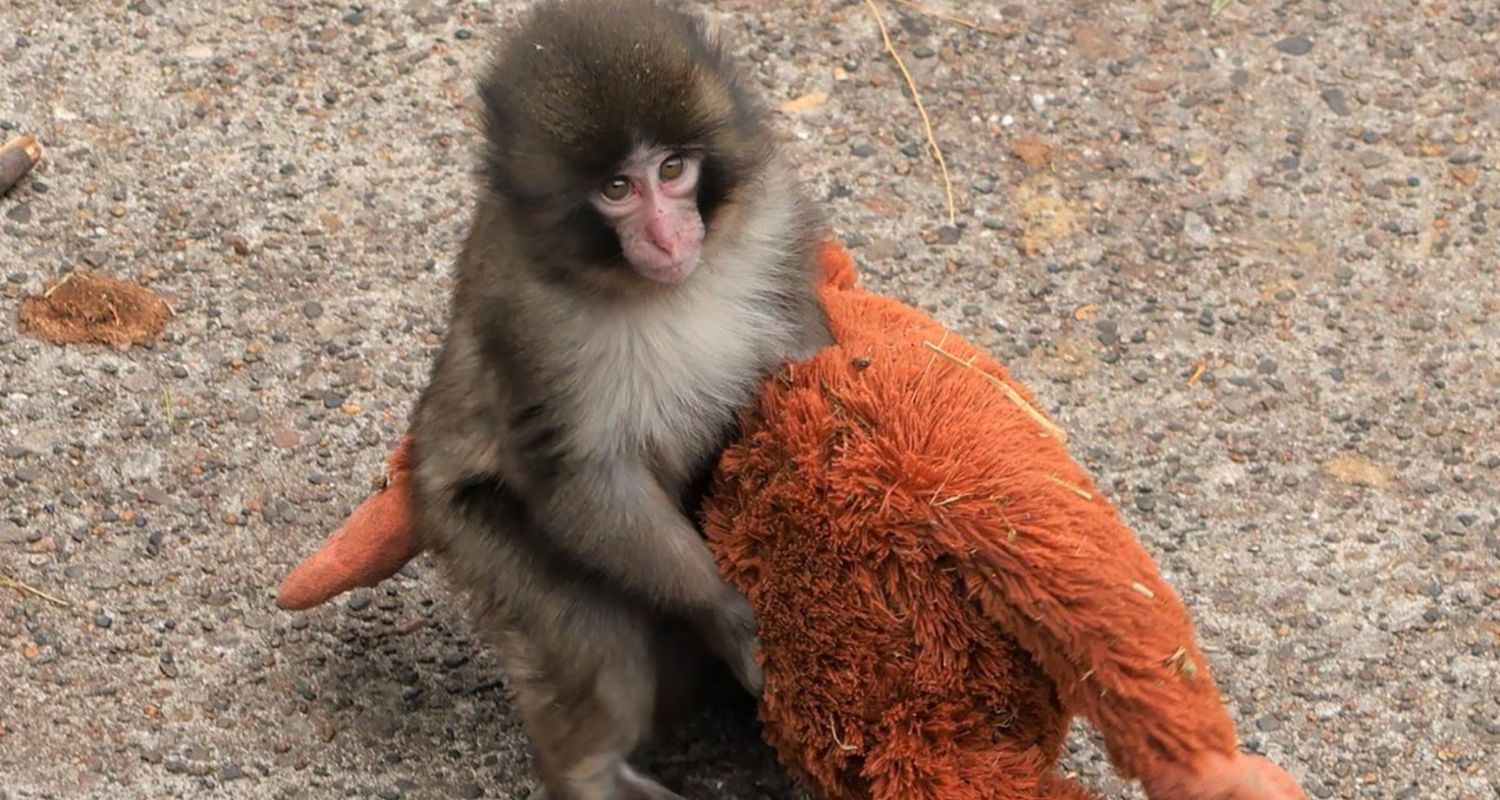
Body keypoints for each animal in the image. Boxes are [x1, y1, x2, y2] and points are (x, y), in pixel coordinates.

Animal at [405, 0, 832, 797]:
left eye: (672, 169)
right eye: (616, 190)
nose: (667, 236)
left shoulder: (774, 220)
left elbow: (805, 352)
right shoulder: (528, 319)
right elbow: (582, 478)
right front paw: (726, 612)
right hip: (471, 531)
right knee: (597, 631)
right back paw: (588, 770)